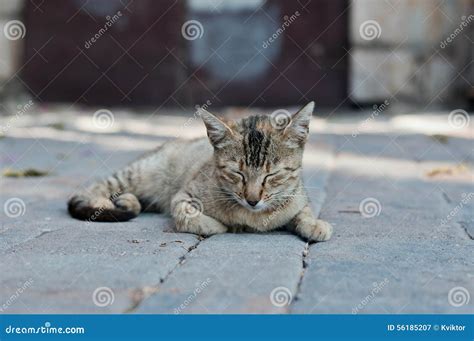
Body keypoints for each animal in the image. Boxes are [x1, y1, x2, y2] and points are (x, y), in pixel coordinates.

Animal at [67, 101, 334, 242]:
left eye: (272, 175)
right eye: (237, 174)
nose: (252, 200)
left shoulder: (297, 197)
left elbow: (302, 211)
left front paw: (314, 223)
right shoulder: (183, 195)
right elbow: (186, 213)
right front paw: (217, 225)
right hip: (139, 174)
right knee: (95, 188)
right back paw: (106, 203)